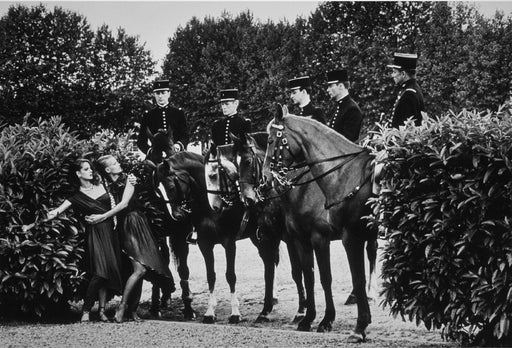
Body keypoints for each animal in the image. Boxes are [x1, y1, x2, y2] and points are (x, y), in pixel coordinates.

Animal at [154, 150, 282, 324]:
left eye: (172, 186)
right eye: (159, 192)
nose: (177, 216)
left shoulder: (229, 243)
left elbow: (230, 276)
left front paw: (235, 313)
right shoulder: (205, 244)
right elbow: (211, 276)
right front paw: (210, 312)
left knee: (270, 263)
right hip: (257, 238)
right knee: (269, 261)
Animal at [262, 104, 378, 342]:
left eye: (270, 140)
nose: (265, 180)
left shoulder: (334, 238)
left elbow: (336, 278)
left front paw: (339, 322)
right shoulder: (300, 240)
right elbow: (309, 276)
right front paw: (309, 318)